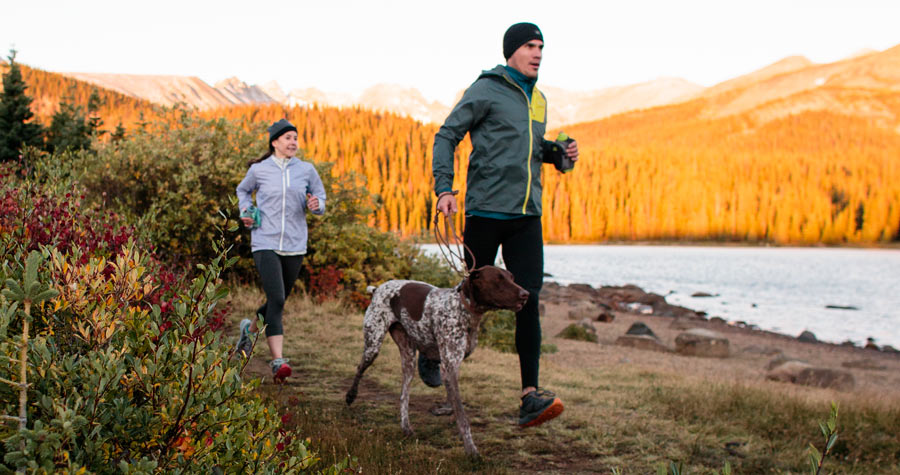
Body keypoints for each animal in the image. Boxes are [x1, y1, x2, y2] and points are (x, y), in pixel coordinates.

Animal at [342, 268, 528, 458]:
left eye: (512, 278)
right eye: (498, 279)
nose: (525, 294)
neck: (463, 309)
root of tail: (378, 288)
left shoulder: (452, 365)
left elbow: (454, 405)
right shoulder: (449, 367)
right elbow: (462, 416)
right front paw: (471, 449)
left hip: (408, 358)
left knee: (403, 395)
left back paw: (406, 427)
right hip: (373, 346)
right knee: (360, 368)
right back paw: (351, 395)